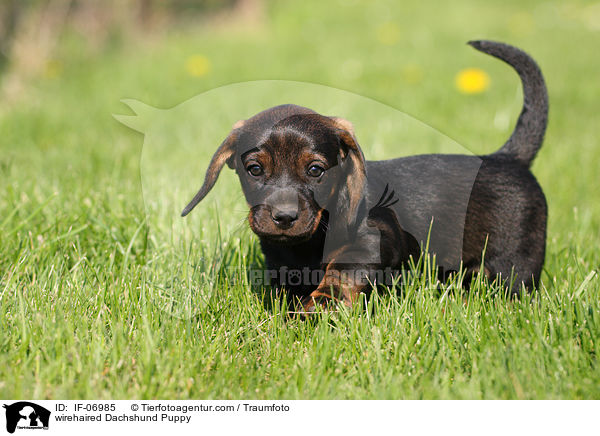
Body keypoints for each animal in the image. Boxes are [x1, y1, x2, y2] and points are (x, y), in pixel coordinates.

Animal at [182, 39, 548, 308]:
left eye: (315, 170)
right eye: (254, 169)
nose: (284, 217)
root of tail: (507, 157)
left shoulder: (371, 243)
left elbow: (340, 274)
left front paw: (318, 307)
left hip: (514, 264)